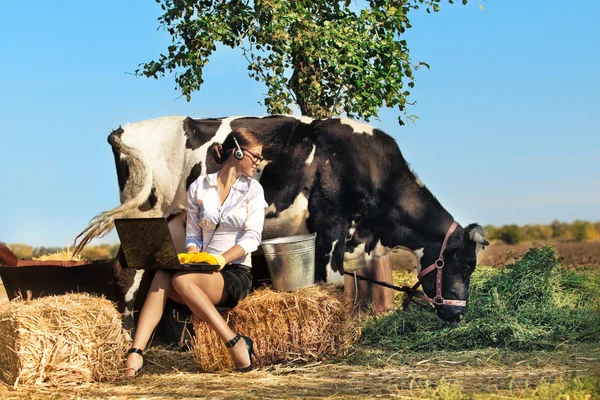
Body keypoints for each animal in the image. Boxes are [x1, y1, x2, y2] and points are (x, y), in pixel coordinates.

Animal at [76, 114, 488, 326]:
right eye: (467, 265)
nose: (458, 315)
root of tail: (125, 129)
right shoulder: (331, 224)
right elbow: (334, 284)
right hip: (144, 215)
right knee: (127, 272)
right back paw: (128, 332)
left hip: (173, 221)